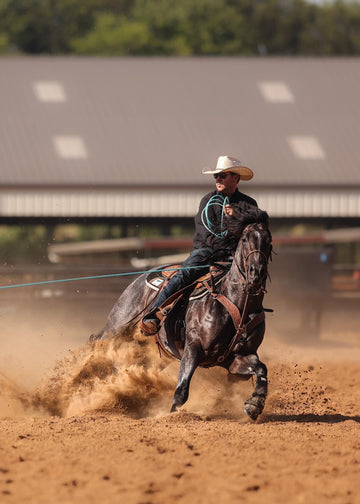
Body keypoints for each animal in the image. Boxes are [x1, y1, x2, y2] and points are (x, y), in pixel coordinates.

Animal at [90, 205, 272, 422]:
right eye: (244, 238)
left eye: (269, 239)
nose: (256, 272)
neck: (236, 304)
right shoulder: (193, 347)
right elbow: (182, 390)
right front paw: (173, 416)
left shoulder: (235, 359)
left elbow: (261, 368)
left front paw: (255, 404)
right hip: (117, 326)